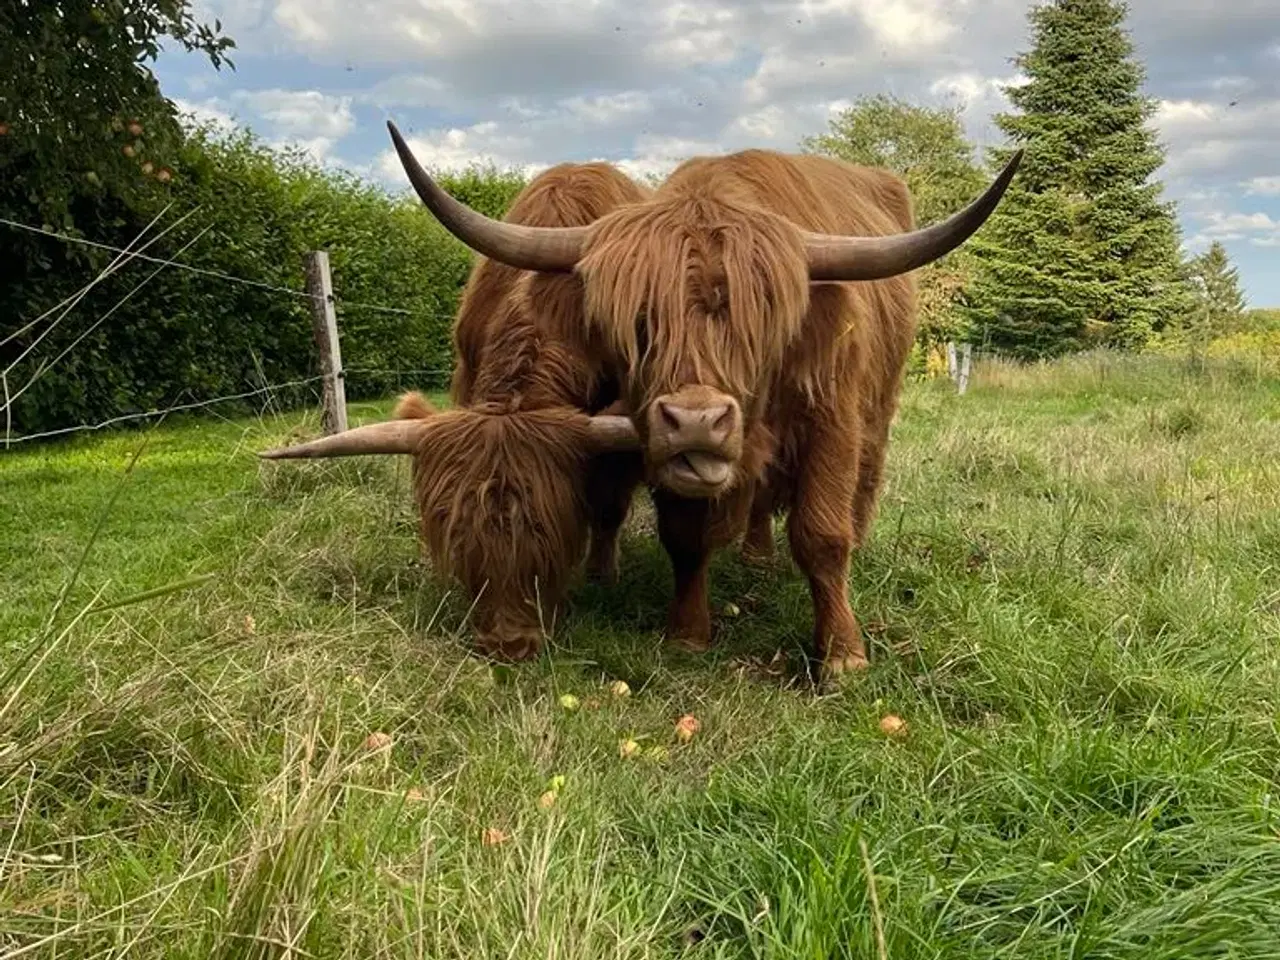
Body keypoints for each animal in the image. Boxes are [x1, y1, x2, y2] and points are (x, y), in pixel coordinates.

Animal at [384, 122, 1024, 686]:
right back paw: (754, 556)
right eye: (640, 323)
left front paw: (843, 654)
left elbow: (821, 537)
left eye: (759, 325)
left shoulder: (830, 420)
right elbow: (684, 538)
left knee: (862, 485)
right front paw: (688, 633)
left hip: (877, 410)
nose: (696, 422)